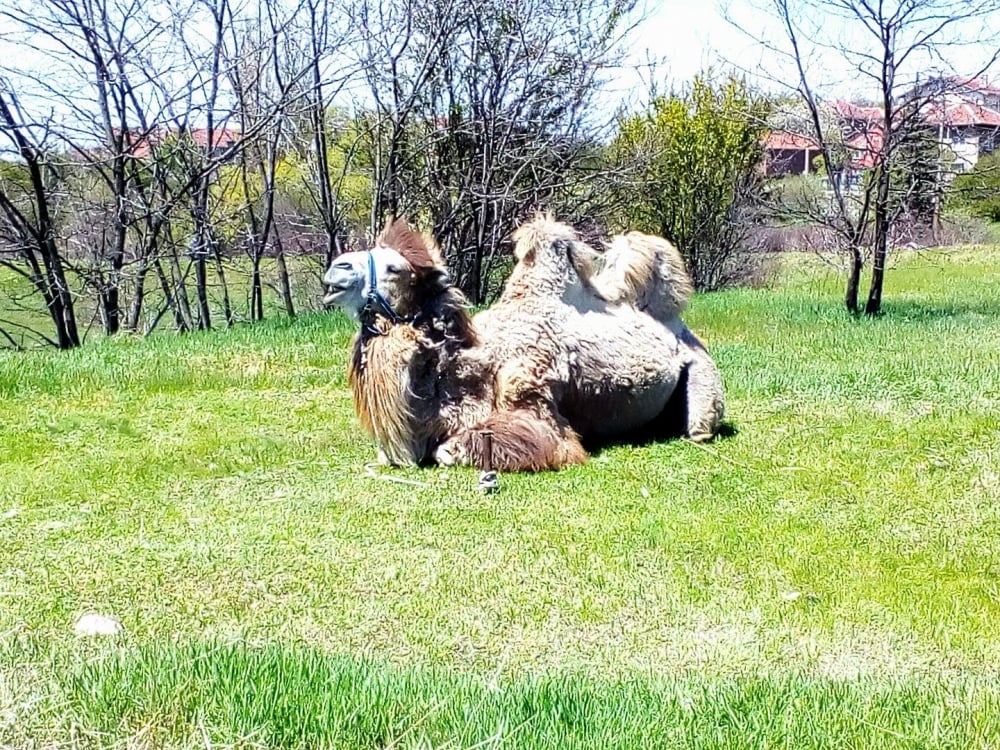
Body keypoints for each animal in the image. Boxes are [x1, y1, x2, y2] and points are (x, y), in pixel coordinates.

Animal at [324, 214, 724, 472]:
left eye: (394, 268)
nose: (336, 269)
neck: (466, 371)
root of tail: (676, 323)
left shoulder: (530, 396)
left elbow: (450, 451)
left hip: (703, 374)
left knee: (700, 424)